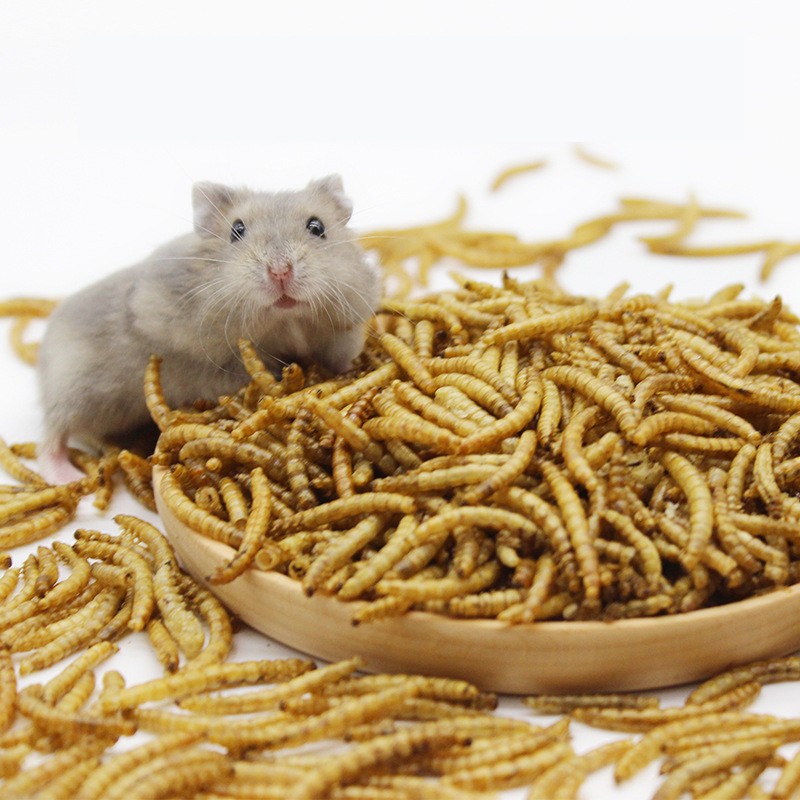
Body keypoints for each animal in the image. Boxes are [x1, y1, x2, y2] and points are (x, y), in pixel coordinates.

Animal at [37, 175, 381, 483]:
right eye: (237, 230)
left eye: (317, 227)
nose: (280, 271)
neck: (286, 322)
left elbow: (340, 361)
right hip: (72, 387)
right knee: (51, 436)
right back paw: (68, 477)